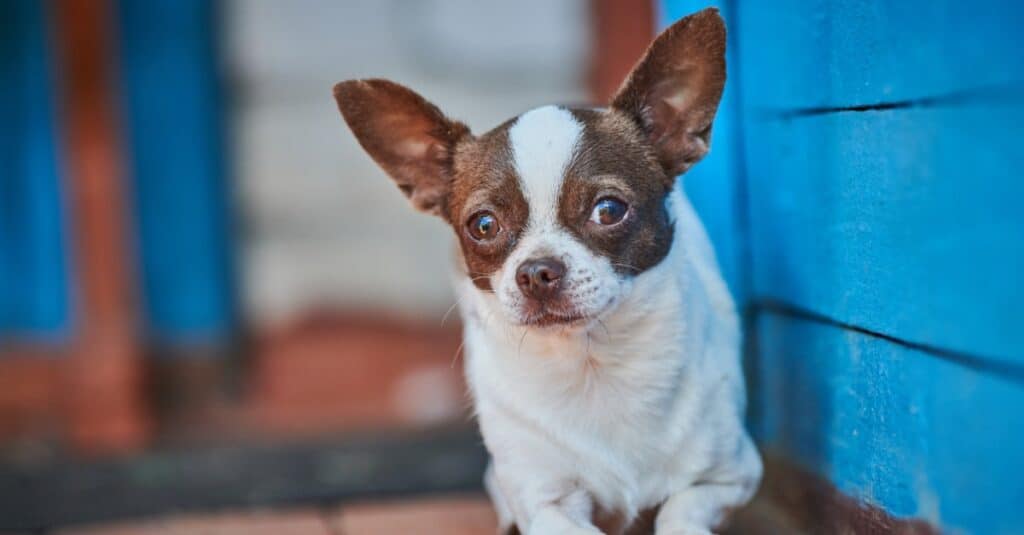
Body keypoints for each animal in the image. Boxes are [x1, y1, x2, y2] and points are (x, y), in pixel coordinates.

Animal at [333, 8, 761, 532]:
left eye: (608, 210)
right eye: (483, 225)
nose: (537, 271)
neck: (592, 365)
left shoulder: (730, 479)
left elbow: (681, 512)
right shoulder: (547, 503)